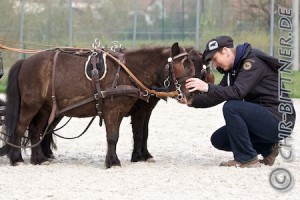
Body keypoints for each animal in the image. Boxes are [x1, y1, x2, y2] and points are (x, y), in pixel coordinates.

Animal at [1, 43, 195, 168]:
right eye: (180, 68)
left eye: (193, 69)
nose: (190, 95)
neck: (126, 72)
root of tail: (25, 62)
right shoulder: (113, 111)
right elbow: (113, 137)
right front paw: (113, 162)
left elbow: (125, 135)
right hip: (31, 105)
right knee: (20, 128)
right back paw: (17, 159)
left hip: (46, 108)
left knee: (35, 130)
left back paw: (39, 159)